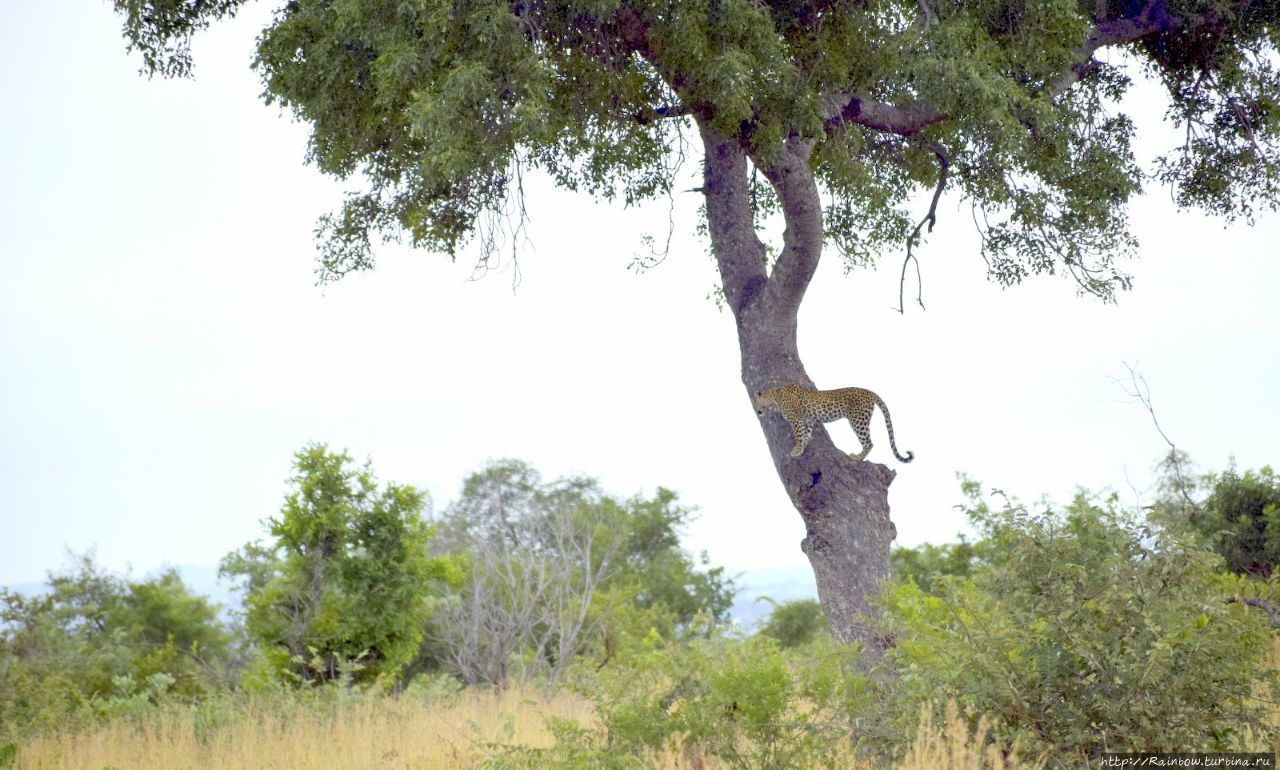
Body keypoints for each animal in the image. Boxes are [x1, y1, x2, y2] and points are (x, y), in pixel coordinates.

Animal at [752, 381, 916, 460]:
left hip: (858, 420)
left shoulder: (795, 418)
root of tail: (870, 392)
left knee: (869, 443)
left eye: (756, 403)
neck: (775, 399)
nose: (758, 412)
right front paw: (803, 446)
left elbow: (799, 434)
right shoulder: (808, 419)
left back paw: (857, 458)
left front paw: (797, 450)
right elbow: (806, 433)